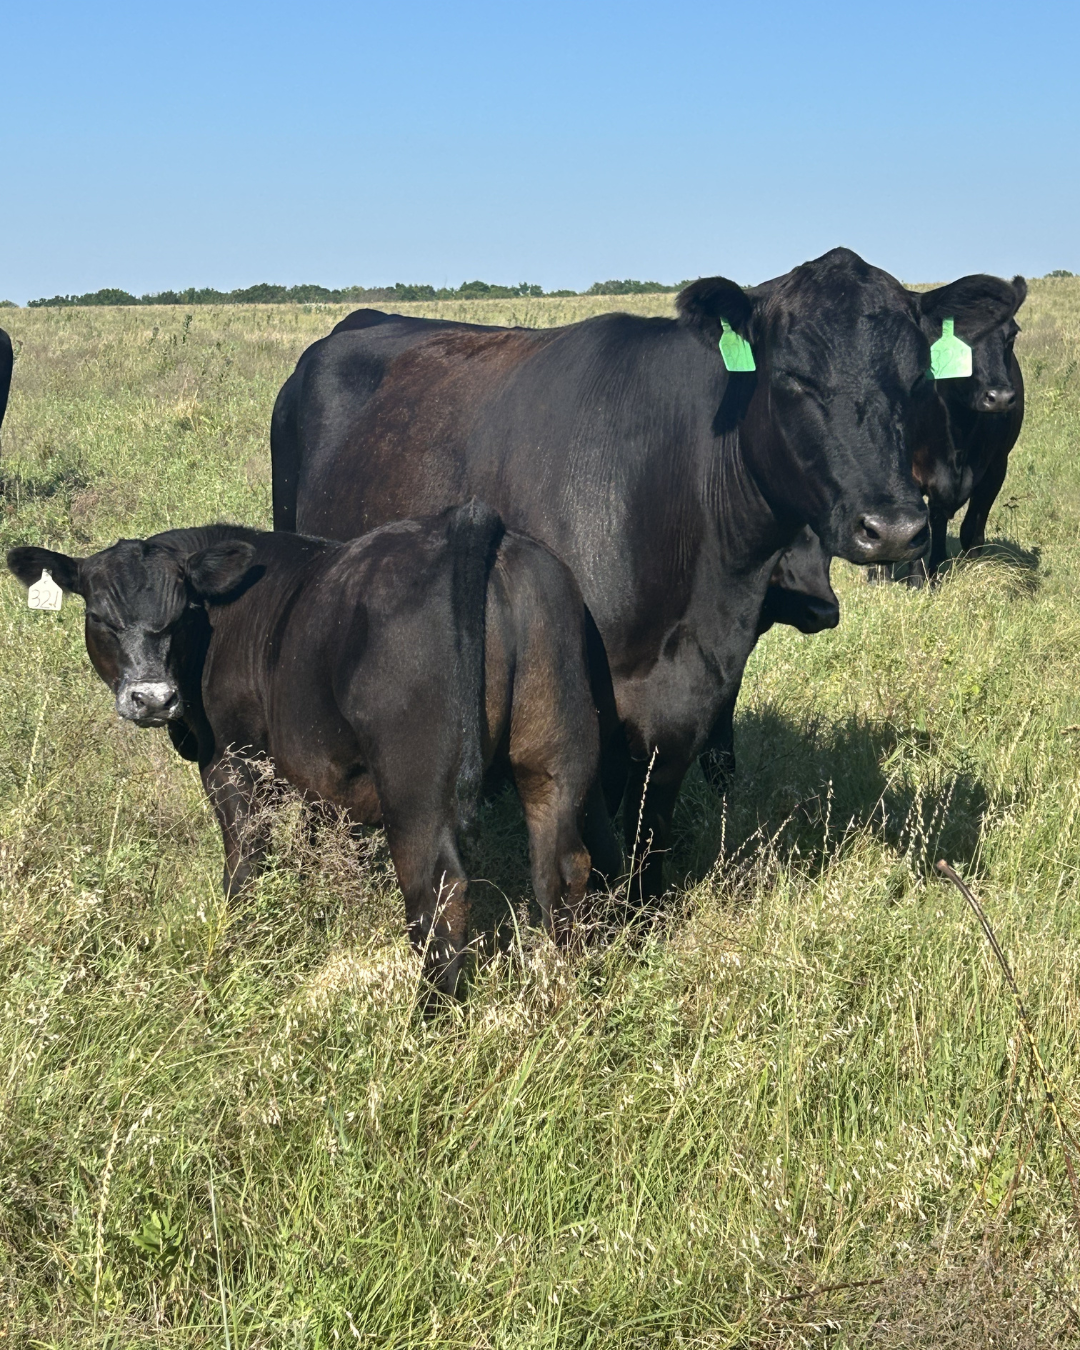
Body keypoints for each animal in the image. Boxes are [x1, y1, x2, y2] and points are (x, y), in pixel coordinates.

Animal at [7, 503, 605, 998]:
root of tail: (470, 520)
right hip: (555, 749)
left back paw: (430, 1018)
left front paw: (238, 941)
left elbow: (246, 856)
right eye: (99, 617)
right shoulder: (321, 771)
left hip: (414, 782)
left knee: (437, 887)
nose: (153, 698)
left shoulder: (232, 756)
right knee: (563, 866)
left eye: (180, 615)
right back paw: (562, 990)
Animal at [271, 247, 971, 895]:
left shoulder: (692, 700)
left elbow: (652, 819)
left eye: (918, 379)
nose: (894, 528)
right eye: (793, 377)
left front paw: (650, 903)